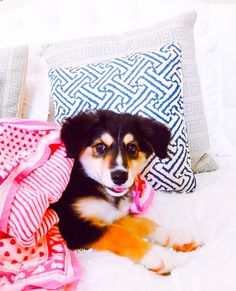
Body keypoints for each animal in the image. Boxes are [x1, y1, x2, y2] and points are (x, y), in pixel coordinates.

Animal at [52, 110, 199, 274]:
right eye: (100, 146)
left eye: (132, 148)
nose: (119, 176)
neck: (90, 182)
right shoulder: (71, 225)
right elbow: (118, 233)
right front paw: (154, 253)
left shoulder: (110, 215)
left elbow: (142, 222)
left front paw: (174, 236)